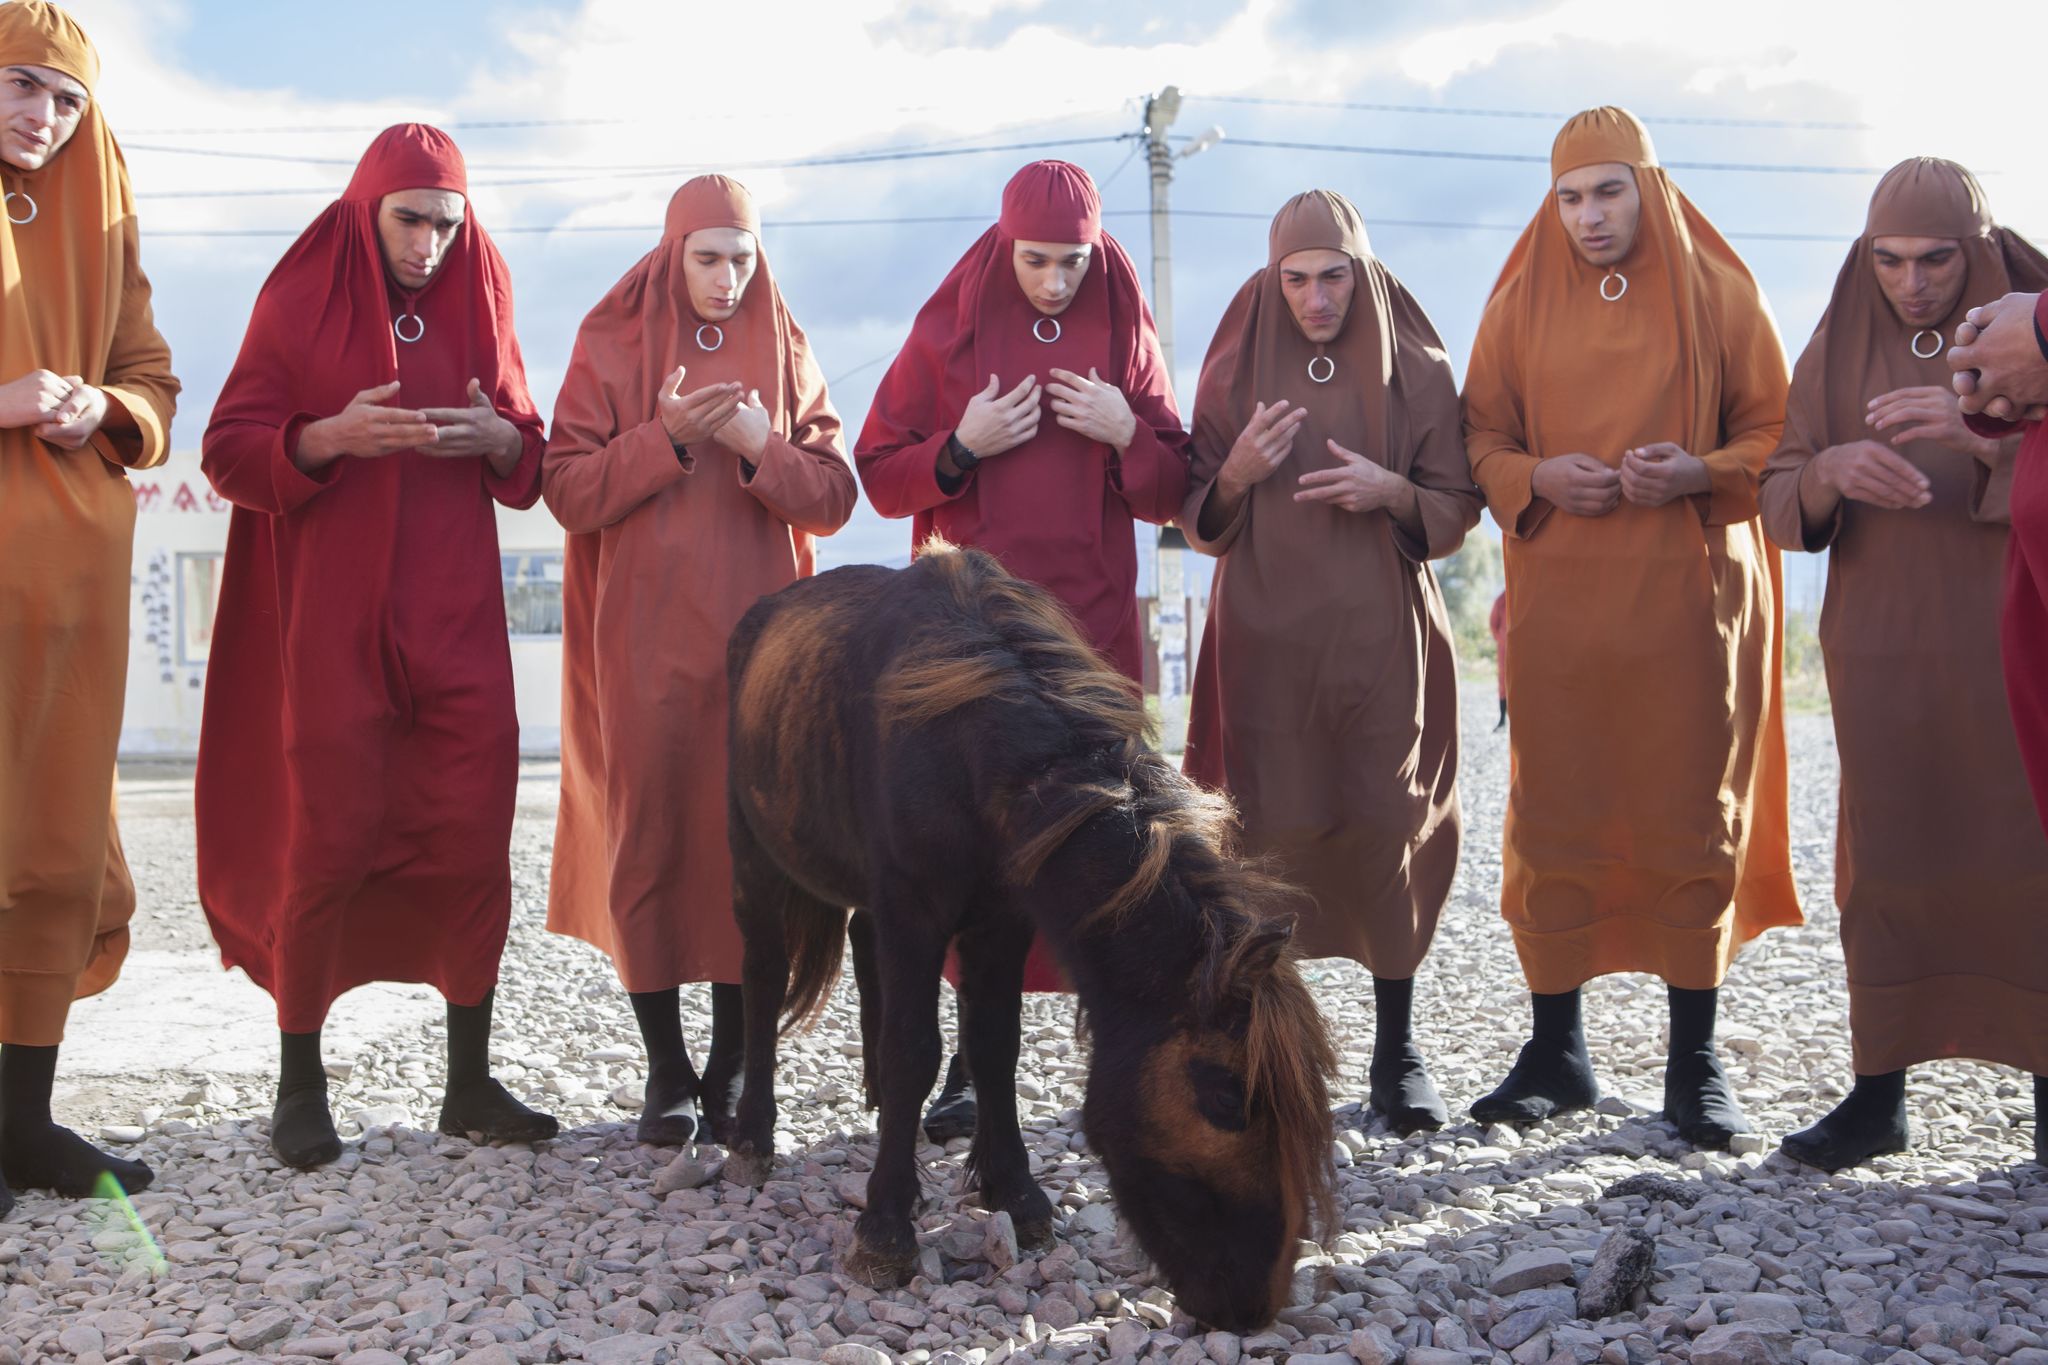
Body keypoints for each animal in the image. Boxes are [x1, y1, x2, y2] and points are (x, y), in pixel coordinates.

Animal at [720, 540, 1343, 1334]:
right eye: (1227, 1098)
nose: (1254, 1304)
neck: (968, 741)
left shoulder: (1001, 920)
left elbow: (994, 1047)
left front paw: (1013, 1191)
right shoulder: (915, 912)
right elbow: (914, 1051)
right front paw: (885, 1228)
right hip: (754, 856)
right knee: (763, 975)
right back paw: (751, 1136)